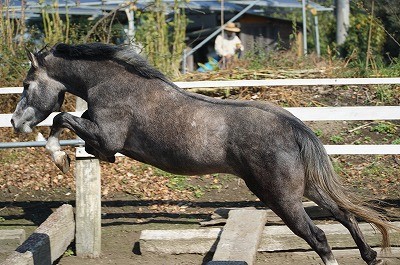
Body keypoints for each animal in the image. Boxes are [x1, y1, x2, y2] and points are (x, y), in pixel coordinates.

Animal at [11, 42, 396, 262]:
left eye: (27, 84)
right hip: (306, 188)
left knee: (319, 237)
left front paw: (58, 157)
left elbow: (61, 117)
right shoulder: (98, 142)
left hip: (281, 197)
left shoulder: (107, 143)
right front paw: (61, 158)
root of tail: (292, 126)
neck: (113, 84)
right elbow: (65, 123)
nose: (15, 122)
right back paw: (370, 255)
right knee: (346, 215)